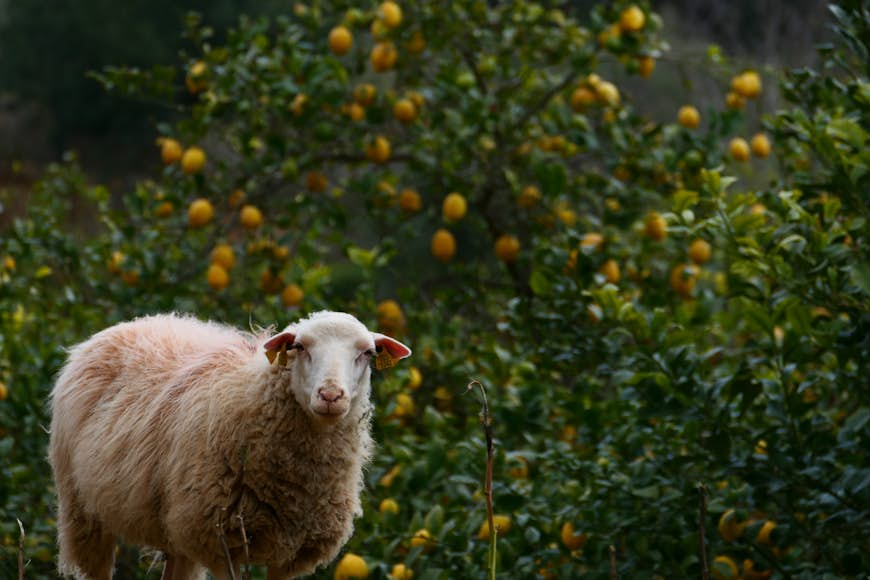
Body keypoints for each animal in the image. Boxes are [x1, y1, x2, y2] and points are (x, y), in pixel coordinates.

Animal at [47, 312, 412, 580]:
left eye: (367, 353)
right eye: (299, 347)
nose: (331, 395)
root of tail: (138, 322)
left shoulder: (289, 555)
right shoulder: (222, 544)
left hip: (177, 527)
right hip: (83, 511)